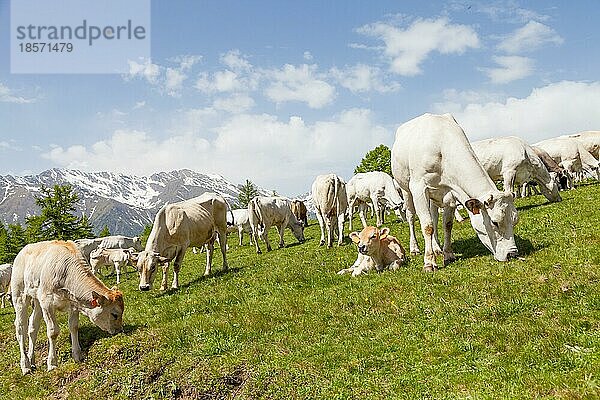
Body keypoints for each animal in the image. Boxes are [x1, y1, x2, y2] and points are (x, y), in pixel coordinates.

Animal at [11, 241, 124, 376]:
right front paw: (52, 363)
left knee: (33, 326)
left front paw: (77, 355)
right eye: (114, 314)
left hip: (37, 299)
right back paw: (25, 365)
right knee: (20, 327)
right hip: (19, 295)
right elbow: (53, 332)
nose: (119, 330)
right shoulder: (47, 302)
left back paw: (31, 359)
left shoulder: (73, 304)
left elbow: (74, 327)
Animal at [392, 113, 516, 272]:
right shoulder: (419, 188)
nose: (512, 254)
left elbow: (447, 224)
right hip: (405, 189)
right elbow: (427, 226)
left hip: (433, 195)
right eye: (495, 222)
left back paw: (437, 247)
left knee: (434, 216)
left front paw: (448, 254)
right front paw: (429, 262)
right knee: (411, 216)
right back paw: (415, 248)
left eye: (515, 220)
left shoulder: (450, 192)